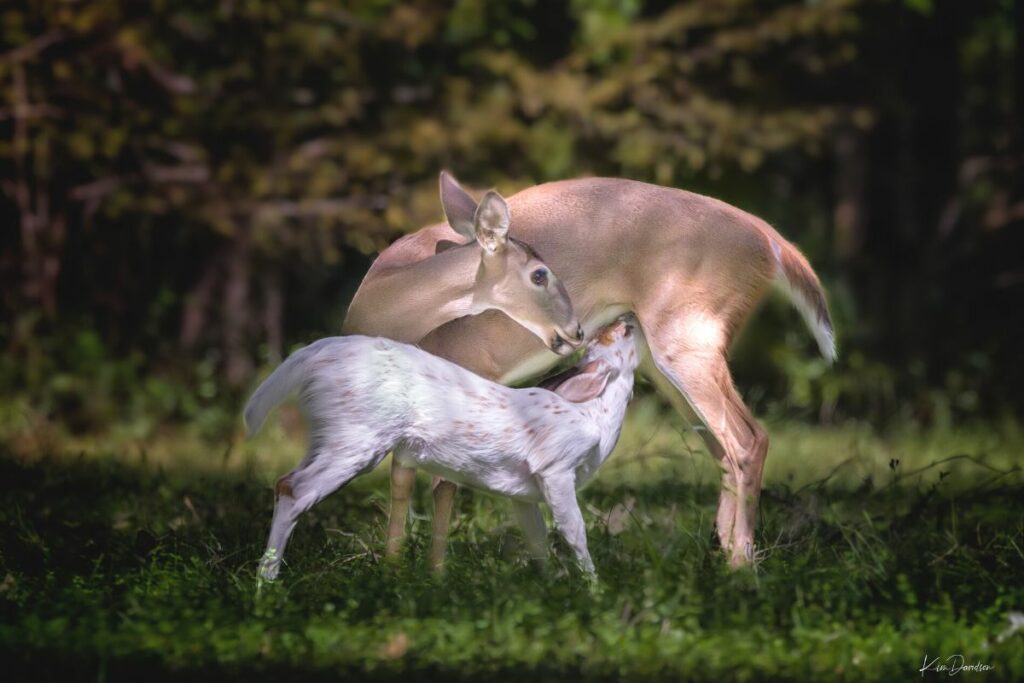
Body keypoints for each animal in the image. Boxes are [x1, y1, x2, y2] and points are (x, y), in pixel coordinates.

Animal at [244, 317, 640, 581]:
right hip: (358, 438)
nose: (628, 319)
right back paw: (266, 581)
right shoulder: (555, 466)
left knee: (286, 481)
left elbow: (537, 537)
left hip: (329, 436)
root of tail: (315, 354)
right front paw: (593, 587)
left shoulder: (522, 491)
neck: (594, 416)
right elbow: (575, 531)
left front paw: (548, 583)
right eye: (618, 334)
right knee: (292, 488)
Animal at [344, 175, 835, 569]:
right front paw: (395, 568)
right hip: (668, 356)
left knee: (749, 439)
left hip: (689, 332)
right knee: (723, 449)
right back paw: (722, 555)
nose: (575, 329)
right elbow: (403, 474)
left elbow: (441, 479)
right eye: (540, 274)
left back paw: (740, 568)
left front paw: (432, 573)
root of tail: (771, 240)